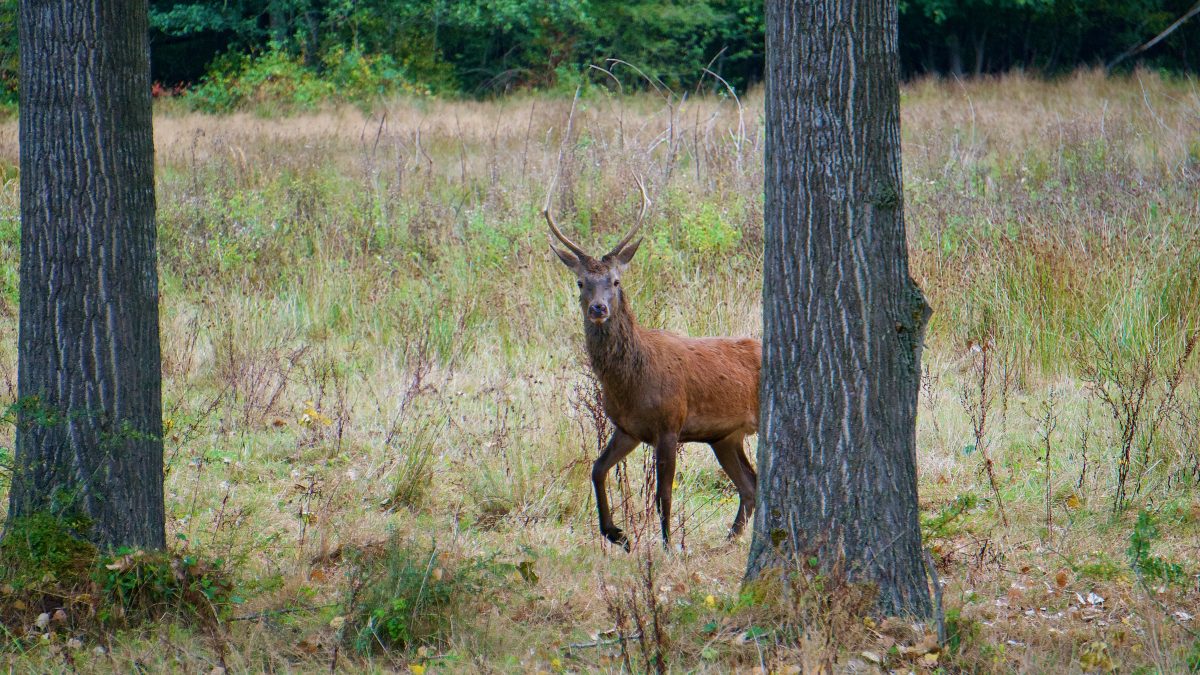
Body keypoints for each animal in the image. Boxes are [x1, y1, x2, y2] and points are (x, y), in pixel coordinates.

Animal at [547, 178, 758, 547]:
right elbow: (597, 468)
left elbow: (664, 495)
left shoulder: (669, 423)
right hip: (725, 436)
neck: (631, 382)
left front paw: (668, 548)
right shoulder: (628, 428)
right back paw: (729, 540)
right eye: (581, 282)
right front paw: (617, 534)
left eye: (615, 281)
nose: (599, 308)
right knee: (750, 484)